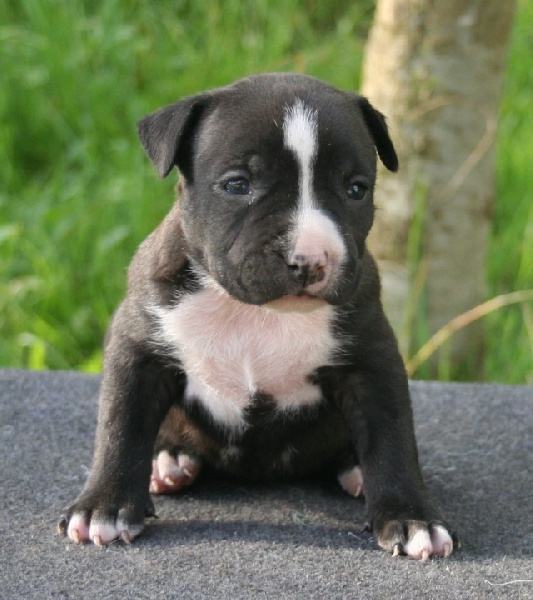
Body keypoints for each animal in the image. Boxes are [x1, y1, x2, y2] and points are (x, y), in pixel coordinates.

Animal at [59, 73, 456, 560]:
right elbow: (120, 426)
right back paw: (169, 461)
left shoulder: (373, 360)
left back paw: (357, 469)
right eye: (237, 185)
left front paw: (411, 517)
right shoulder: (138, 350)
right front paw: (105, 506)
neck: (254, 312)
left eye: (356, 190)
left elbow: (392, 436)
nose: (311, 259)